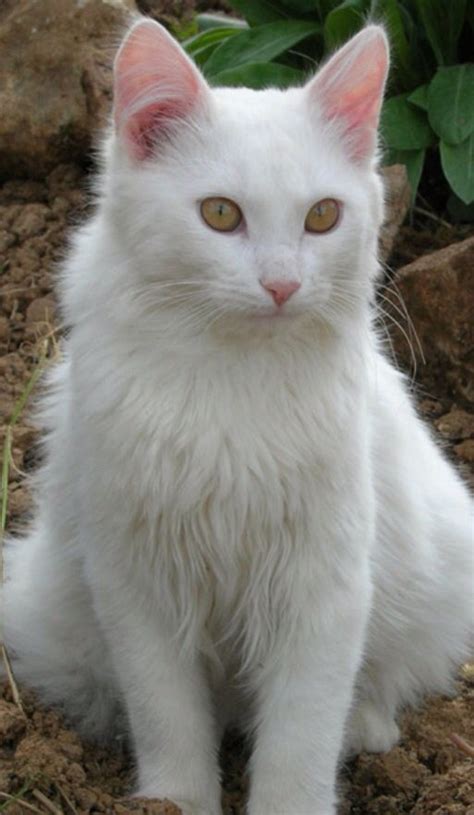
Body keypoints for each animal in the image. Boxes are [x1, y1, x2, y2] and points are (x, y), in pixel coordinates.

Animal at [2, 19, 470, 815]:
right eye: (220, 214)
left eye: (322, 217)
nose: (281, 285)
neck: (233, 379)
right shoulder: (137, 583)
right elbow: (168, 719)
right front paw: (175, 800)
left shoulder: (323, 586)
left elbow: (300, 739)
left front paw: (293, 800)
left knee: (379, 686)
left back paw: (367, 730)